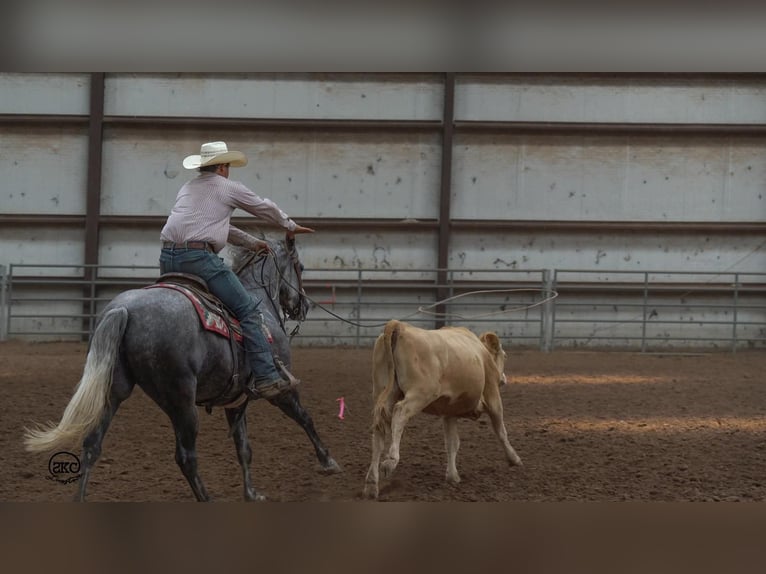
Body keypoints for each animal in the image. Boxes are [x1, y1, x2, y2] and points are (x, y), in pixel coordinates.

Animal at [24, 236, 342, 502]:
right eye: (301, 266)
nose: (303, 307)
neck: (260, 303)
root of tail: (124, 310)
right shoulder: (281, 389)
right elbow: (305, 418)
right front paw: (328, 462)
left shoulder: (235, 401)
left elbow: (244, 448)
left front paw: (251, 494)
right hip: (180, 399)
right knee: (186, 457)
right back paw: (207, 499)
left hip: (112, 391)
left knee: (91, 445)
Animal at [364, 320, 520, 500]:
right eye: (505, 356)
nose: (504, 378)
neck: (481, 354)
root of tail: (400, 326)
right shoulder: (493, 395)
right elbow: (501, 432)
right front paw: (514, 459)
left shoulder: (449, 412)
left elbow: (452, 443)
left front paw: (452, 475)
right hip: (421, 393)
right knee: (400, 413)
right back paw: (391, 460)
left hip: (383, 392)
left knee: (379, 431)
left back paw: (371, 482)